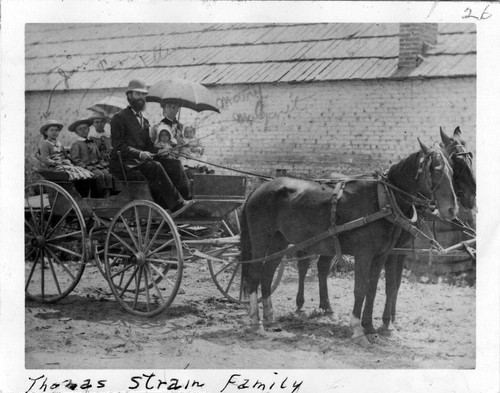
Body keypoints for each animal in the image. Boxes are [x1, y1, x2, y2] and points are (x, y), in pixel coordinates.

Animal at [240, 139, 458, 342]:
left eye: (452, 170)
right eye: (436, 170)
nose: (452, 209)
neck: (382, 199)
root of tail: (259, 189)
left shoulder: (380, 255)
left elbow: (372, 289)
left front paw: (370, 327)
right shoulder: (364, 254)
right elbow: (360, 288)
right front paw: (358, 329)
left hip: (280, 241)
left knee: (268, 273)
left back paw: (270, 317)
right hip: (261, 239)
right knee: (255, 273)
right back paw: (256, 322)